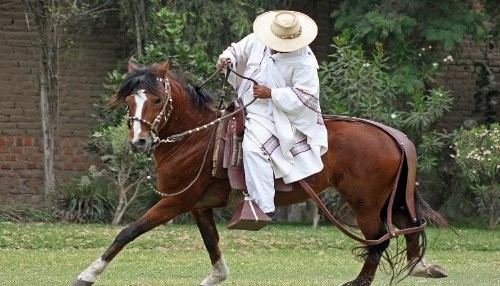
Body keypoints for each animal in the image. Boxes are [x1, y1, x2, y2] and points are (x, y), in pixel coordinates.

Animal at [72, 61, 448, 284]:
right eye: (129, 100)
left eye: (156, 100)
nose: (139, 141)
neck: (196, 138)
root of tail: (392, 134)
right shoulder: (199, 206)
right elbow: (212, 243)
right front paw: (216, 276)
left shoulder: (176, 202)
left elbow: (128, 232)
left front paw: (89, 273)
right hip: (387, 199)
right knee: (408, 225)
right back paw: (422, 267)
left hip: (365, 202)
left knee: (378, 240)